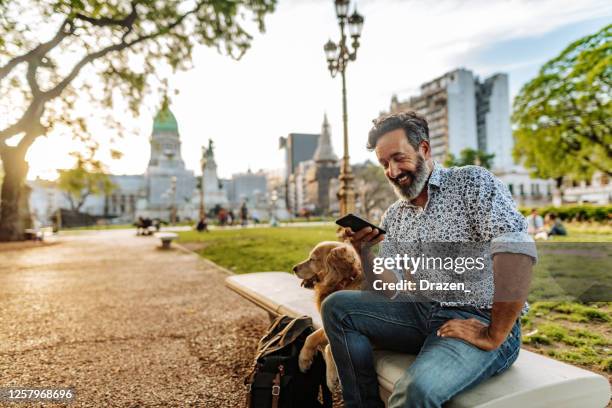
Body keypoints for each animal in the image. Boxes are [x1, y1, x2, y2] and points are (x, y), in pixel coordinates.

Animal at [292, 242, 364, 388]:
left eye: (312, 259)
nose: (294, 268)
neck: (344, 282)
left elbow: (329, 347)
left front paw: (331, 377)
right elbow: (310, 337)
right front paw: (304, 360)